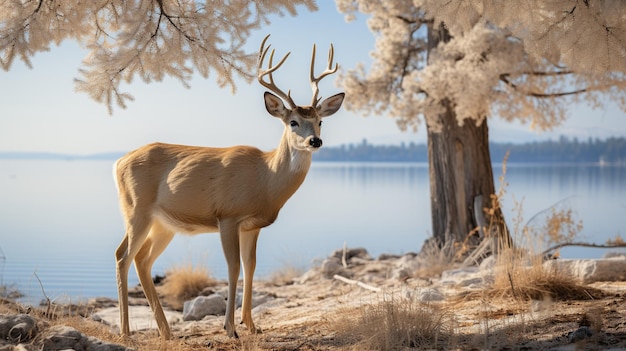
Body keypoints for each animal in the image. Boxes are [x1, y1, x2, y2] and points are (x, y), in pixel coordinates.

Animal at [113, 35, 346, 340]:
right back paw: (126, 332)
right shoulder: (227, 216)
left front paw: (252, 325)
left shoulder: (252, 225)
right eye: (293, 121)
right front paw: (230, 328)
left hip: (163, 224)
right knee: (123, 257)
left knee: (142, 260)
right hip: (136, 210)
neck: (265, 179)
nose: (315, 141)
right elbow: (233, 268)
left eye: (320, 121)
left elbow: (251, 266)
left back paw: (166, 332)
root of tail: (118, 162)